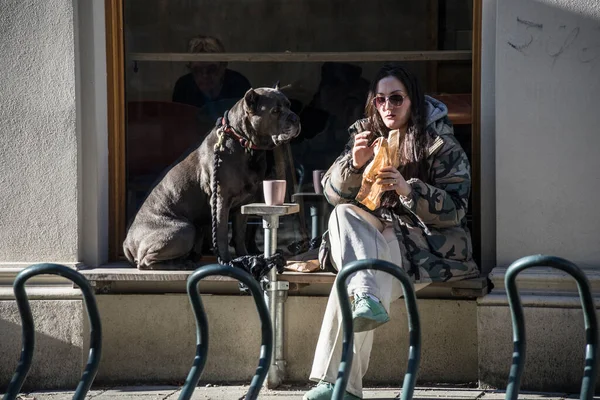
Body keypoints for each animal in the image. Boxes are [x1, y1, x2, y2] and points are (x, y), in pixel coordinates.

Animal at [123, 87, 300, 268]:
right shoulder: (221, 200)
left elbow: (239, 235)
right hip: (185, 229)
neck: (243, 142)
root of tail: (127, 243)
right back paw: (179, 264)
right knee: (145, 261)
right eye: (275, 111)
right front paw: (227, 261)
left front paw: (245, 256)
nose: (295, 118)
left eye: (289, 105)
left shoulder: (242, 204)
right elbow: (221, 234)